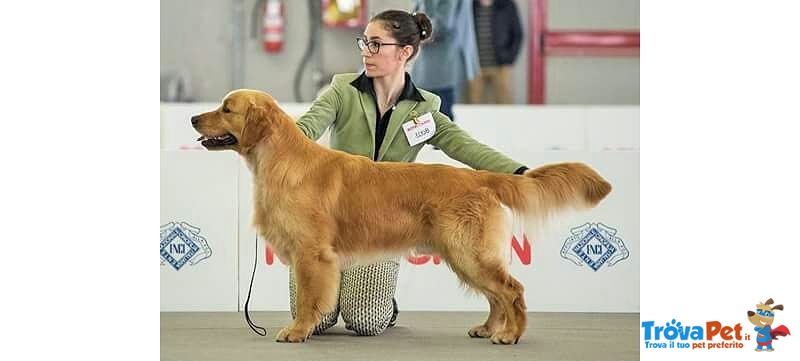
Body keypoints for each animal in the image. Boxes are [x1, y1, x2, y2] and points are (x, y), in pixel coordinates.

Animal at [191, 89, 608, 344]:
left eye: (226, 108)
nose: (193, 118)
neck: (279, 160)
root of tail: (479, 177)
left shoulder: (313, 254)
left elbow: (310, 298)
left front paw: (297, 331)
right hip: (464, 256)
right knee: (495, 295)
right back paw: (488, 329)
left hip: (469, 252)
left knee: (512, 290)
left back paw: (510, 334)